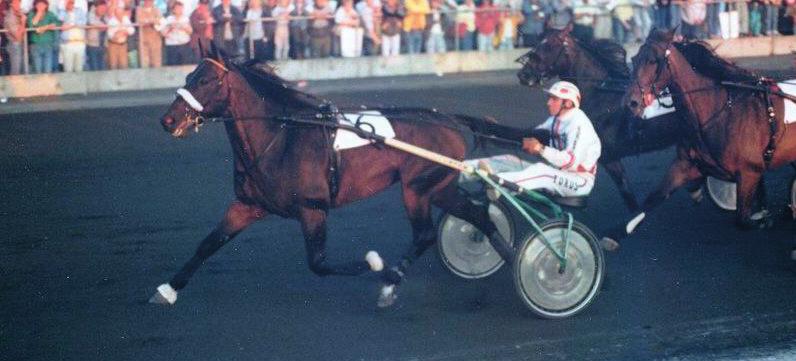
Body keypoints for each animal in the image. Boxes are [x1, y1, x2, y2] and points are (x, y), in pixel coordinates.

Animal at [149, 42, 510, 306]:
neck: (279, 137)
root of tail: (448, 119)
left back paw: (391, 281)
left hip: (417, 188)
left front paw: (376, 265)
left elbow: (319, 264)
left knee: (424, 234)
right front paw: (167, 289)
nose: (168, 121)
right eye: (188, 76)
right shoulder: (248, 205)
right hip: (439, 187)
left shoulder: (313, 208)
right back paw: (506, 253)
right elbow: (209, 243)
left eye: (205, 80)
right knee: (478, 215)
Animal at [512, 24, 692, 211]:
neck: (600, 95)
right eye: (538, 42)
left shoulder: (608, 157)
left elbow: (629, 196)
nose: (524, 75)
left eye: (550, 46)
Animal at [616, 28, 796, 242]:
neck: (717, 112)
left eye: (653, 61)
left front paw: (764, 218)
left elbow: (743, 220)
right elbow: (653, 198)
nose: (630, 102)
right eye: (634, 59)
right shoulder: (686, 165)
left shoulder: (749, 172)